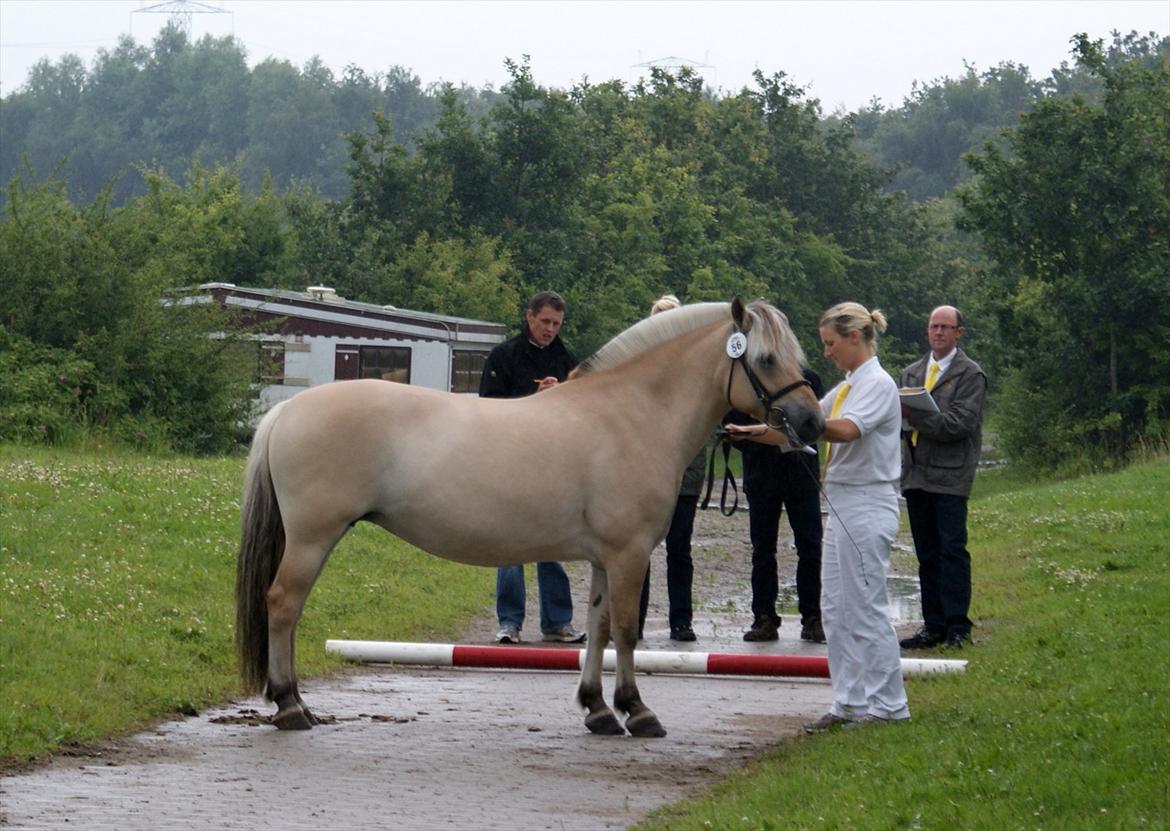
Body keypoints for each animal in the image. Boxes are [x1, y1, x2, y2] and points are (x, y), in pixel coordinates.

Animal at [237, 297, 823, 735]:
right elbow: (626, 631)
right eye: (765, 359)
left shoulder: (607, 559)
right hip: (313, 537)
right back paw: (290, 705)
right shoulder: (630, 553)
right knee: (283, 604)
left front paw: (598, 709)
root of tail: (287, 409)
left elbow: (598, 627)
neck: (631, 414)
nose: (812, 422)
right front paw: (637, 710)